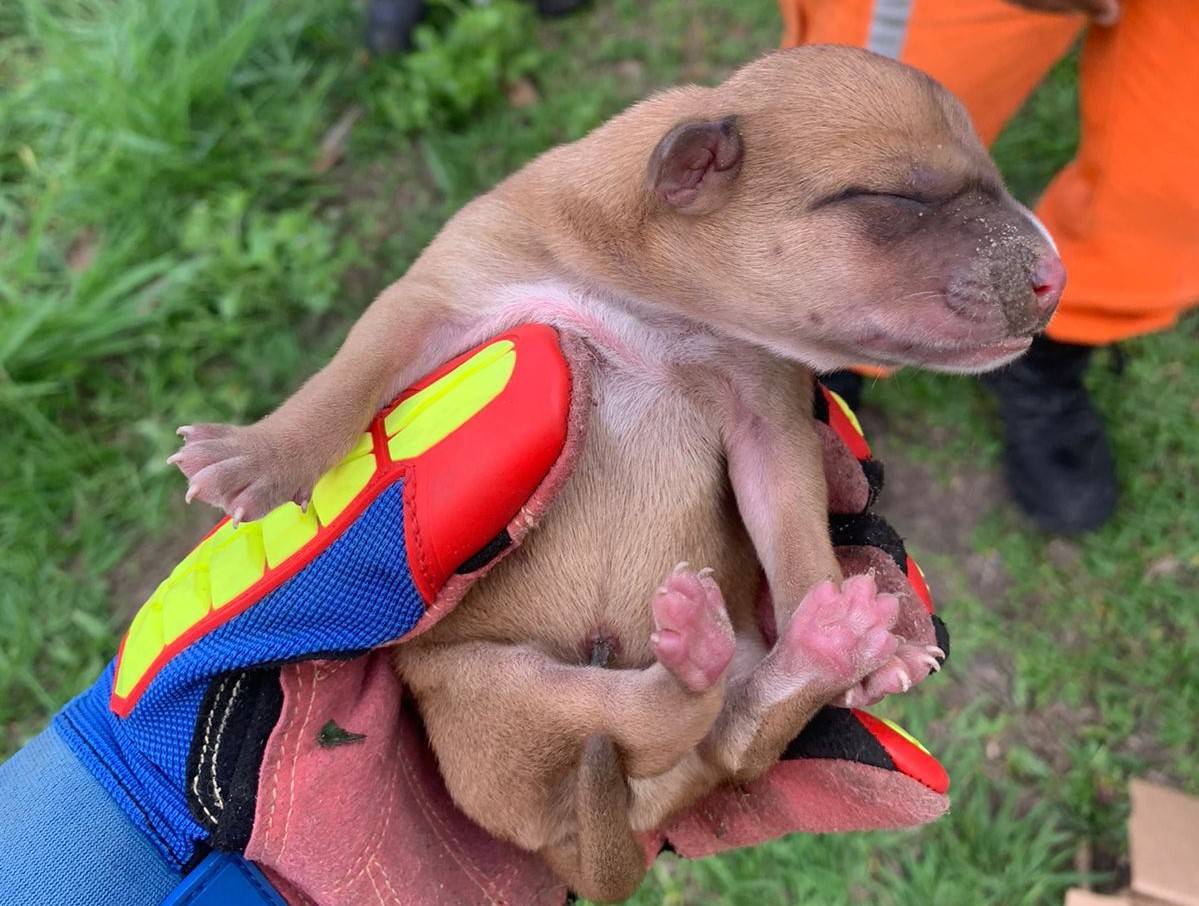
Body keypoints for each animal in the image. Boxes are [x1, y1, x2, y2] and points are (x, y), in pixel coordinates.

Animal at [169, 47, 1059, 901]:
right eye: (897, 197)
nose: (1054, 277)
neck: (651, 298)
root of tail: (607, 830)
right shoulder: (436, 297)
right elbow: (346, 379)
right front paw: (256, 452)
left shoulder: (769, 423)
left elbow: (798, 537)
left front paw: (853, 626)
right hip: (491, 689)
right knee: (657, 720)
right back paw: (756, 649)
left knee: (727, 738)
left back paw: (820, 644)